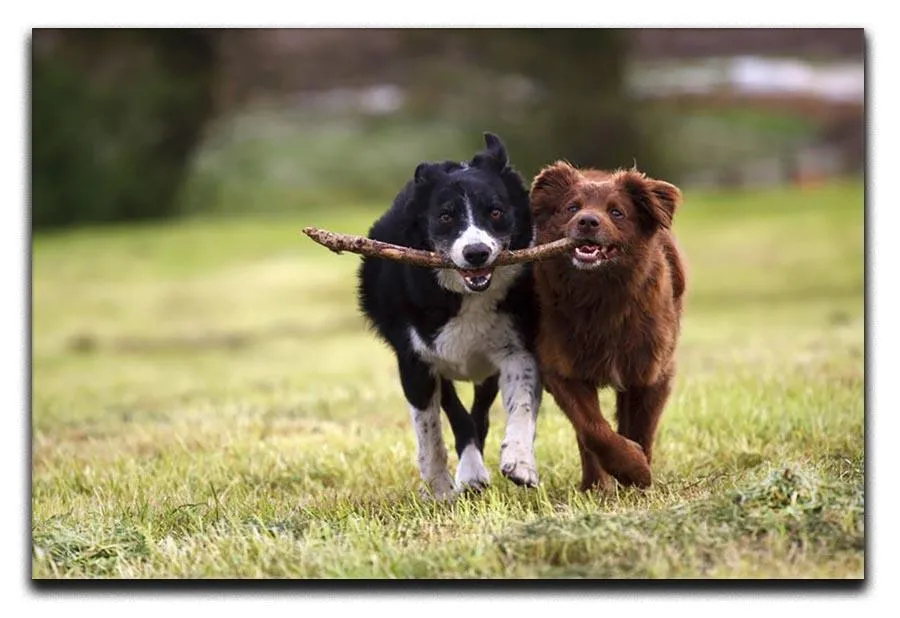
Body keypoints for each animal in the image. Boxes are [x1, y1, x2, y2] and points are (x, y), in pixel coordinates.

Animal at [356, 134, 540, 496]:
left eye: (495, 212)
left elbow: (522, 406)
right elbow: (430, 430)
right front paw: (439, 488)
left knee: (479, 413)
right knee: (457, 414)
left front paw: (521, 463)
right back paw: (469, 475)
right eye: (445, 216)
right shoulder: (415, 360)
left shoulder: (517, 349)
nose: (476, 252)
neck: (467, 296)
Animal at [532, 161, 684, 488]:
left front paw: (640, 475)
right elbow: (592, 429)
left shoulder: (651, 372)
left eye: (617, 212)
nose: (587, 221)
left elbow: (641, 427)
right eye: (572, 207)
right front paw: (631, 467)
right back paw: (594, 485)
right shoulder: (562, 369)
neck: (600, 296)